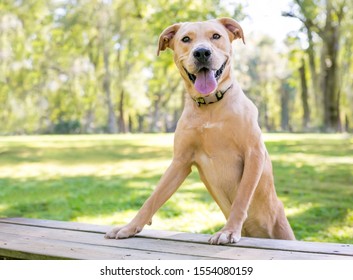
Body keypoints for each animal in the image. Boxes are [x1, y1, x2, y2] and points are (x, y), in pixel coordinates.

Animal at [104, 18, 294, 245]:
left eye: (216, 36)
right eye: (186, 39)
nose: (202, 52)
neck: (210, 106)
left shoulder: (254, 153)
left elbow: (241, 198)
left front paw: (229, 230)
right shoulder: (180, 161)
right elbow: (153, 197)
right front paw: (130, 227)